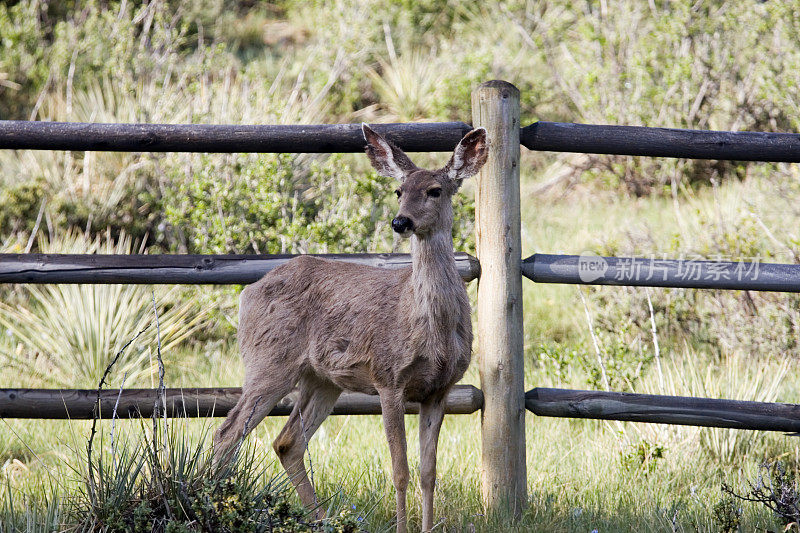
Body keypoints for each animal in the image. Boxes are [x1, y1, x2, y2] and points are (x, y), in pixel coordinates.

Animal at [212, 122, 488, 528]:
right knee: (227, 433)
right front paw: (402, 528)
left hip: (322, 379)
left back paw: (321, 521)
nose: (400, 222)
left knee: (287, 442)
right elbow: (400, 471)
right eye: (398, 190)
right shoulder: (388, 377)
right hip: (269, 361)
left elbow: (429, 473)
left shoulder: (440, 389)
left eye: (435, 190)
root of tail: (247, 292)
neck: (428, 326)